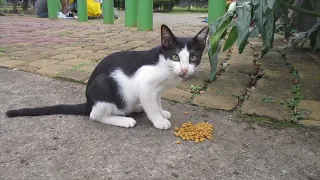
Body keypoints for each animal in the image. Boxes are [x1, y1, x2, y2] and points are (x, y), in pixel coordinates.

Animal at [5, 24, 210, 130]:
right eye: (175, 57)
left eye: (193, 58)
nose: (184, 70)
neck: (164, 65)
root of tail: (89, 101)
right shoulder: (145, 85)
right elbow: (151, 105)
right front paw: (159, 120)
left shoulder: (157, 90)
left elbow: (157, 101)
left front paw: (162, 112)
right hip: (104, 84)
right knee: (95, 115)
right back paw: (124, 119)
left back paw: (135, 109)